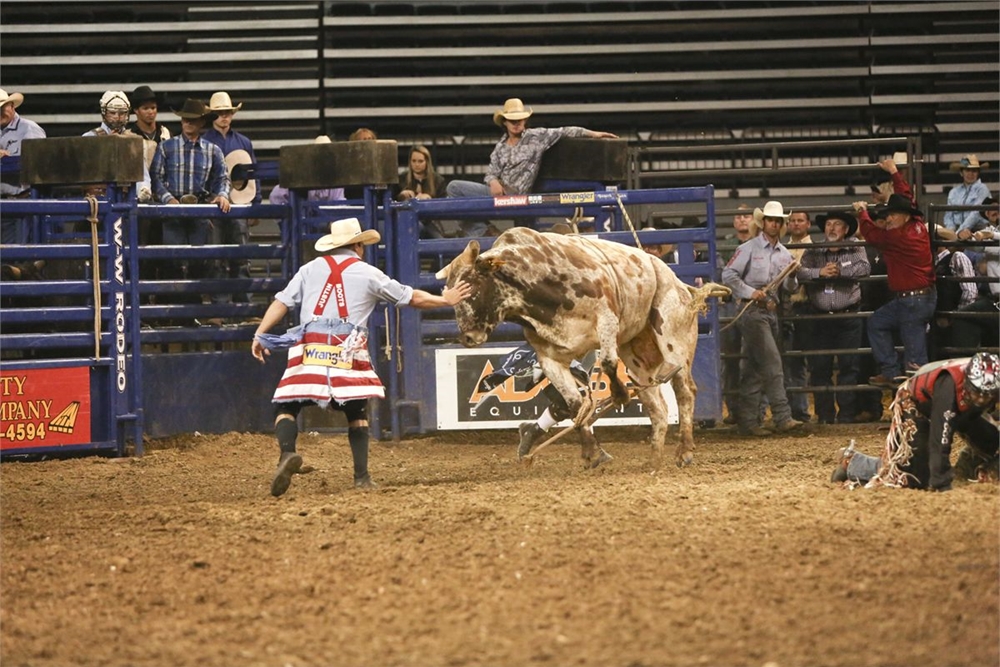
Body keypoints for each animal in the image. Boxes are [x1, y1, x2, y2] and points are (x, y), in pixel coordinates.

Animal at [436, 226, 730, 468]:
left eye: (471, 287)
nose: (467, 338)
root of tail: (683, 286)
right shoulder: (549, 358)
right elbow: (576, 404)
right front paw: (592, 452)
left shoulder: (607, 319)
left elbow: (608, 363)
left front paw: (619, 395)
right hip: (636, 357)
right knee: (657, 407)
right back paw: (654, 460)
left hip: (673, 339)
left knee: (685, 392)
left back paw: (684, 451)